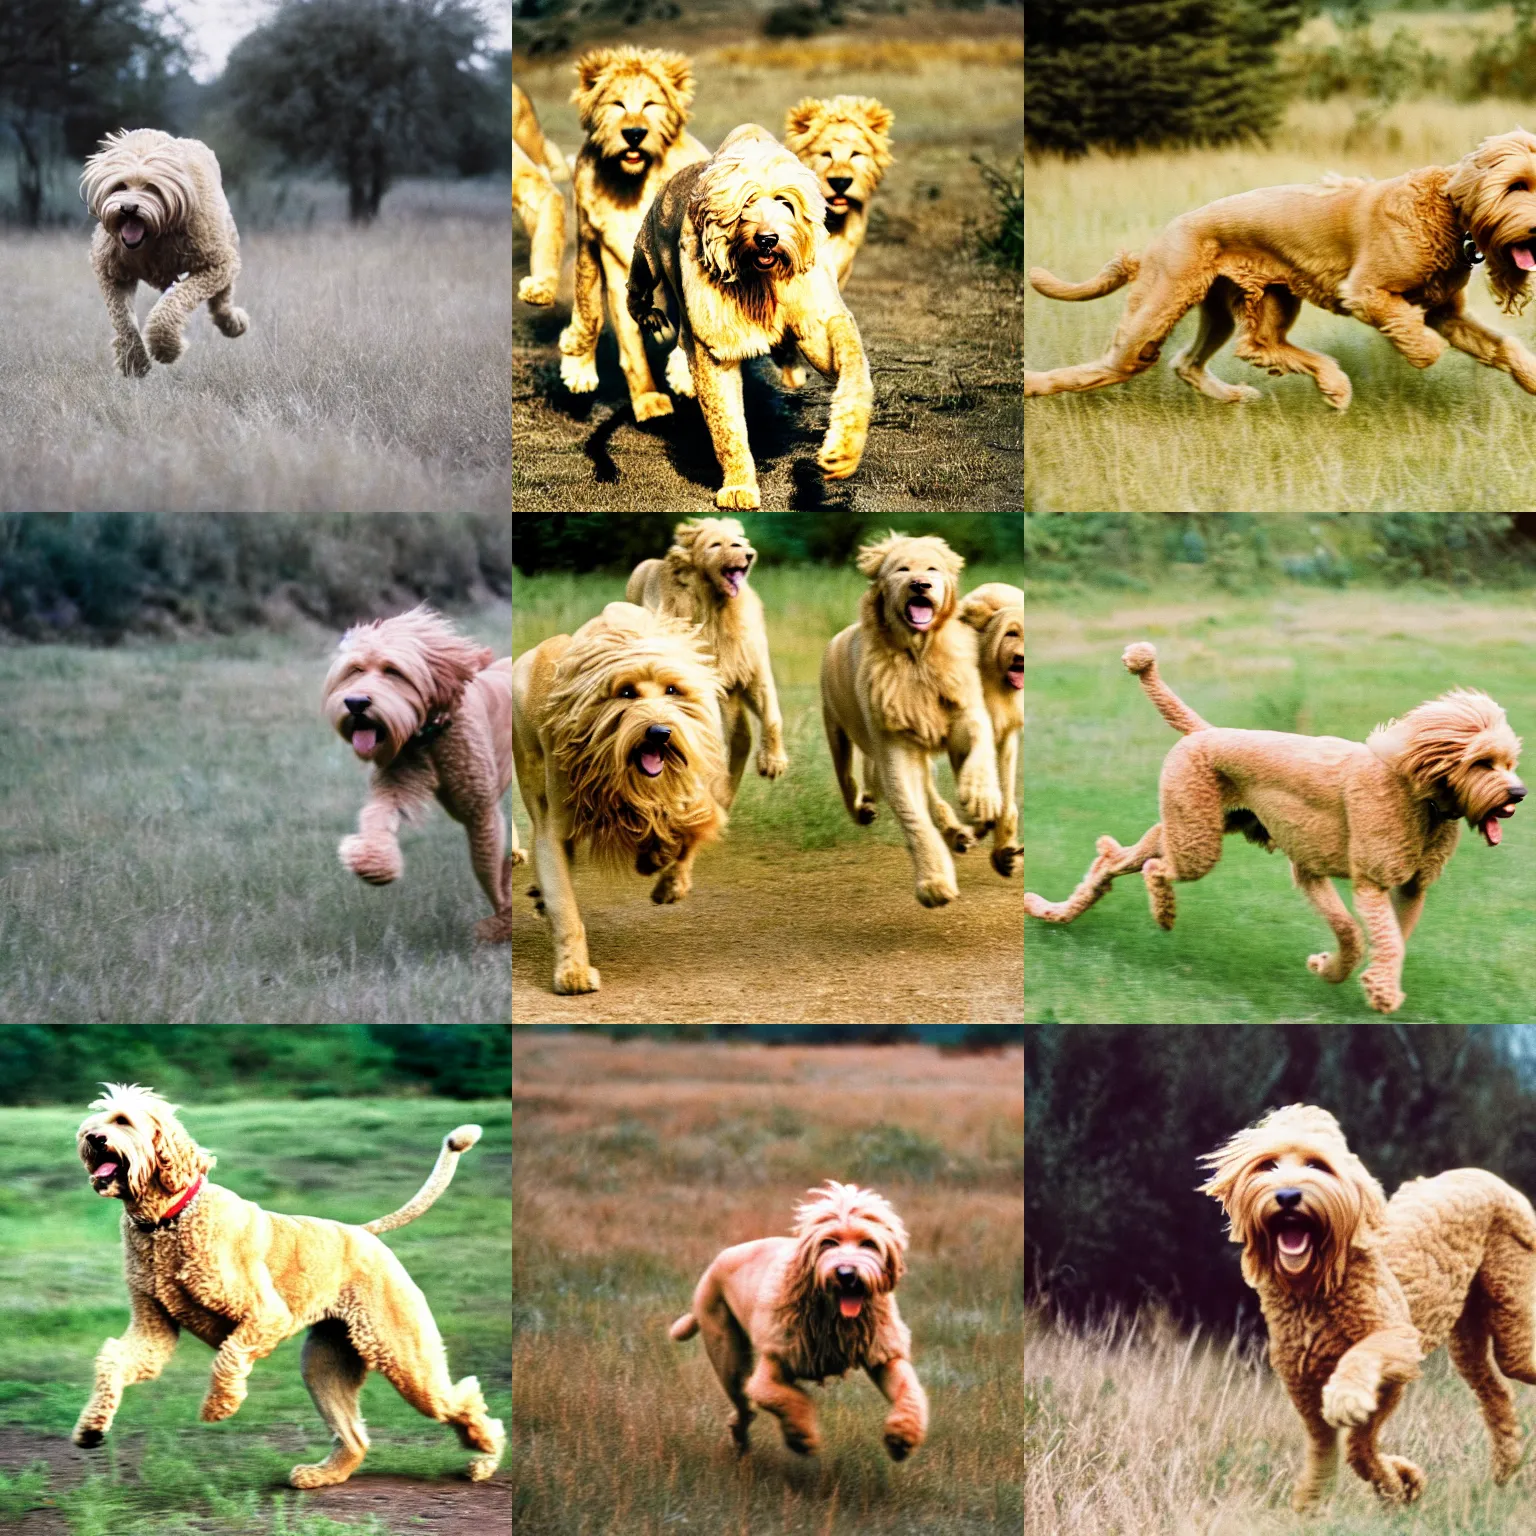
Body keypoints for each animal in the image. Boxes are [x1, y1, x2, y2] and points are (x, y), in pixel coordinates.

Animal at [513, 599, 728, 995]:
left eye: (672, 690)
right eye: (627, 692)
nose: (660, 732)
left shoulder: (692, 788)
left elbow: (692, 829)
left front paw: (668, 877)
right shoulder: (555, 827)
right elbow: (565, 906)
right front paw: (573, 973)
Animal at [559, 48, 706, 420]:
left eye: (651, 104)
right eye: (617, 104)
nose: (635, 133)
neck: (632, 185)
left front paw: (683, 375)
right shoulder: (610, 258)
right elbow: (622, 335)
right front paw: (648, 399)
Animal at [626, 516, 786, 804]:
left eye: (739, 541)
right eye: (716, 545)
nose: (748, 554)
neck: (716, 608)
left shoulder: (752, 668)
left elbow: (771, 714)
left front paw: (773, 763)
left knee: (740, 740)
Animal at [823, 534, 1001, 903]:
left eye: (932, 569)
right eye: (902, 570)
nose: (920, 584)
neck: (919, 654)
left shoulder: (965, 713)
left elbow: (979, 750)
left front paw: (980, 800)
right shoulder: (895, 748)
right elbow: (913, 815)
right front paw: (934, 884)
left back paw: (958, 830)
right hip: (836, 731)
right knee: (848, 780)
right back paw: (864, 810)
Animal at [1026, 132, 1536, 408]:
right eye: (1516, 185)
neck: (1447, 210)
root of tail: (1157, 241)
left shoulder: (1446, 312)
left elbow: (1503, 346)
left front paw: (1531, 379)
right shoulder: (1367, 292)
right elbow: (1421, 340)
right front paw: (1420, 352)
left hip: (1245, 300)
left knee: (1224, 354)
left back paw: (1292, 389)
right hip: (1159, 305)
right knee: (1115, 364)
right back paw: (1034, 385)